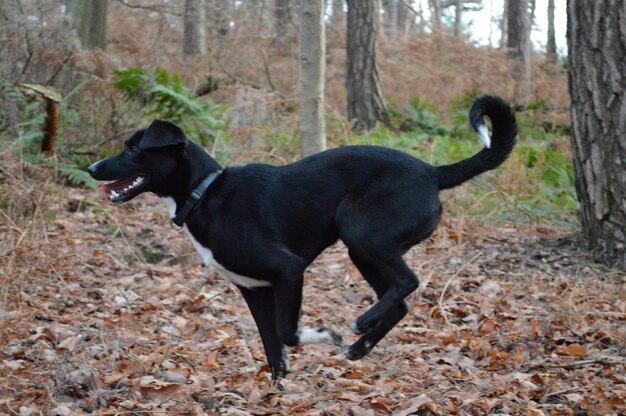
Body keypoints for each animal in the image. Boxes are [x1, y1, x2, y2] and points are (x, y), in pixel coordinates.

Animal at [89, 95, 516, 380]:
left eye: (133, 147)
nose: (92, 167)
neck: (204, 192)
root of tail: (433, 171)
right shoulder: (254, 290)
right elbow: (272, 347)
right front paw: (277, 392)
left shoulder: (288, 271)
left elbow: (286, 333)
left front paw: (324, 334)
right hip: (364, 250)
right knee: (399, 302)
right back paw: (361, 346)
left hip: (360, 232)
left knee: (408, 282)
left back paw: (360, 325)